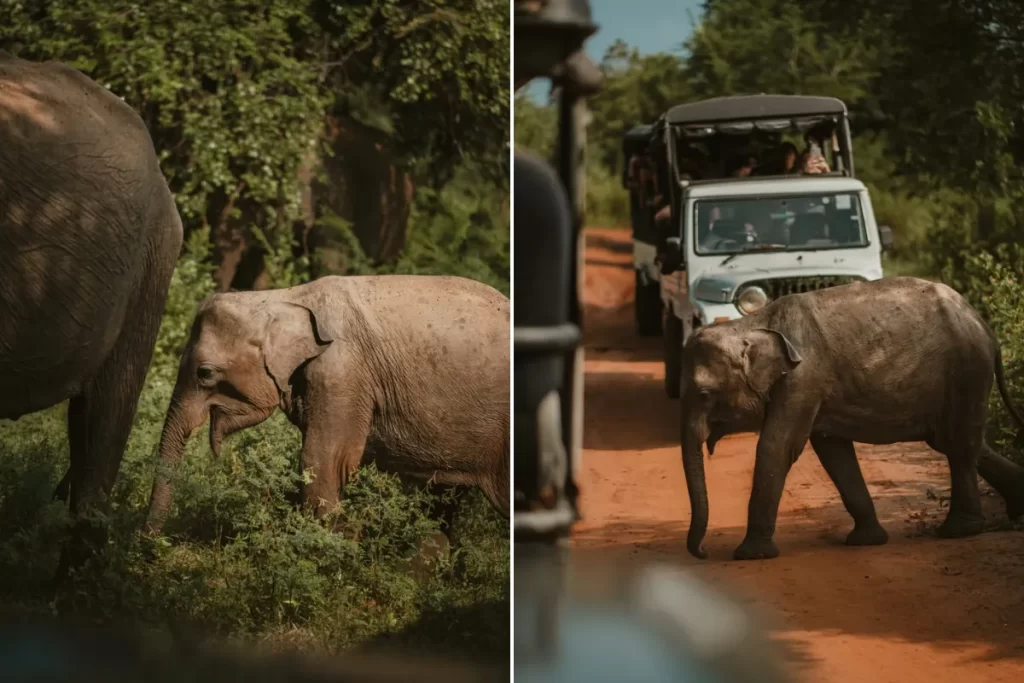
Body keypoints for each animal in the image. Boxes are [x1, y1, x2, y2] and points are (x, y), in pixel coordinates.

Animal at [679, 276, 1024, 561]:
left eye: (704, 394)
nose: (704, 552)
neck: (751, 323)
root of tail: (984, 325)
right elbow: (833, 451)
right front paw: (866, 541)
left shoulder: (802, 379)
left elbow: (777, 447)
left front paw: (750, 556)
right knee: (958, 441)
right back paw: (1014, 515)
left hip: (967, 369)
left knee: (959, 444)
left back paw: (958, 531)